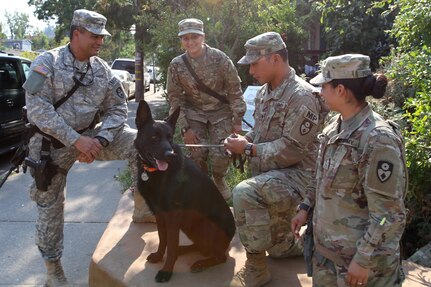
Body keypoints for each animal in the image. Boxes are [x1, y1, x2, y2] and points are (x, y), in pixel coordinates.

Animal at [134, 101, 236, 284]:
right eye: (154, 137)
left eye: (170, 138)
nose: (169, 155)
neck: (154, 172)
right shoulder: (159, 213)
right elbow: (163, 239)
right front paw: (159, 256)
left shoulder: (173, 215)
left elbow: (171, 243)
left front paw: (166, 271)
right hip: (189, 225)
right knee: (199, 246)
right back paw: (184, 251)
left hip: (203, 225)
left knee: (220, 257)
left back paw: (201, 263)